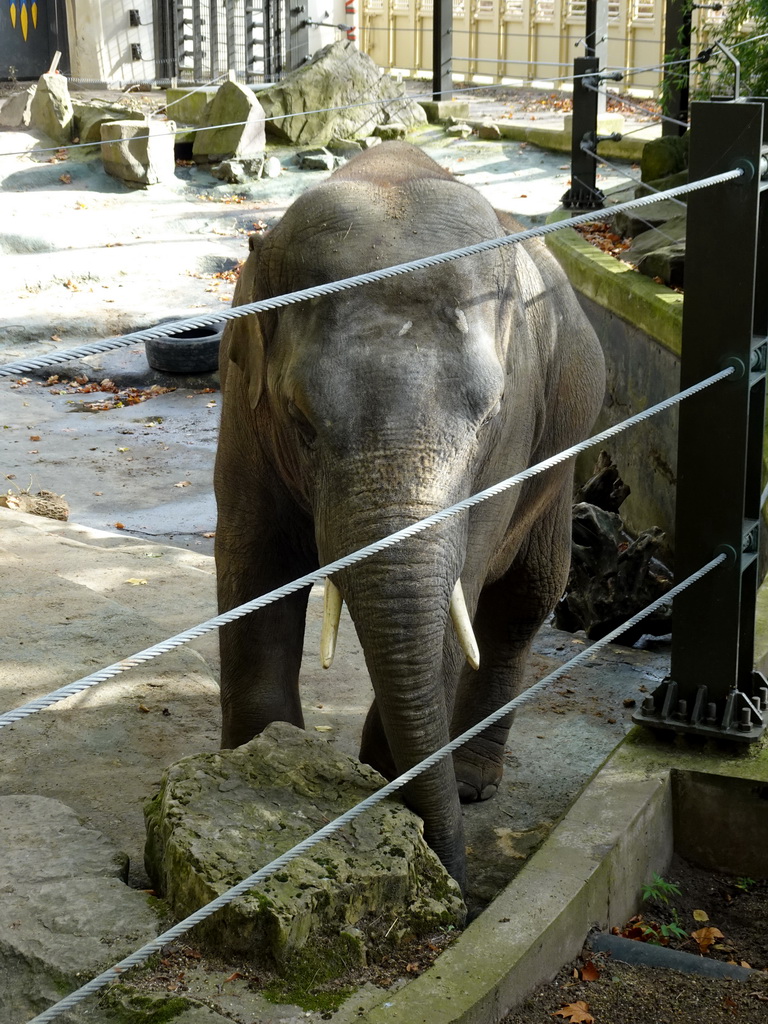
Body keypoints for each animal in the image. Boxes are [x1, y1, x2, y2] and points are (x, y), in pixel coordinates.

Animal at [215, 142, 606, 888]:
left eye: (488, 413)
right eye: (302, 421)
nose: (459, 882)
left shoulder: (511, 445)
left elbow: (462, 596)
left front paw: (382, 789)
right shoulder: (240, 406)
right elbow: (255, 566)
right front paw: (258, 771)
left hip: (562, 457)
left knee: (523, 600)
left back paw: (473, 783)